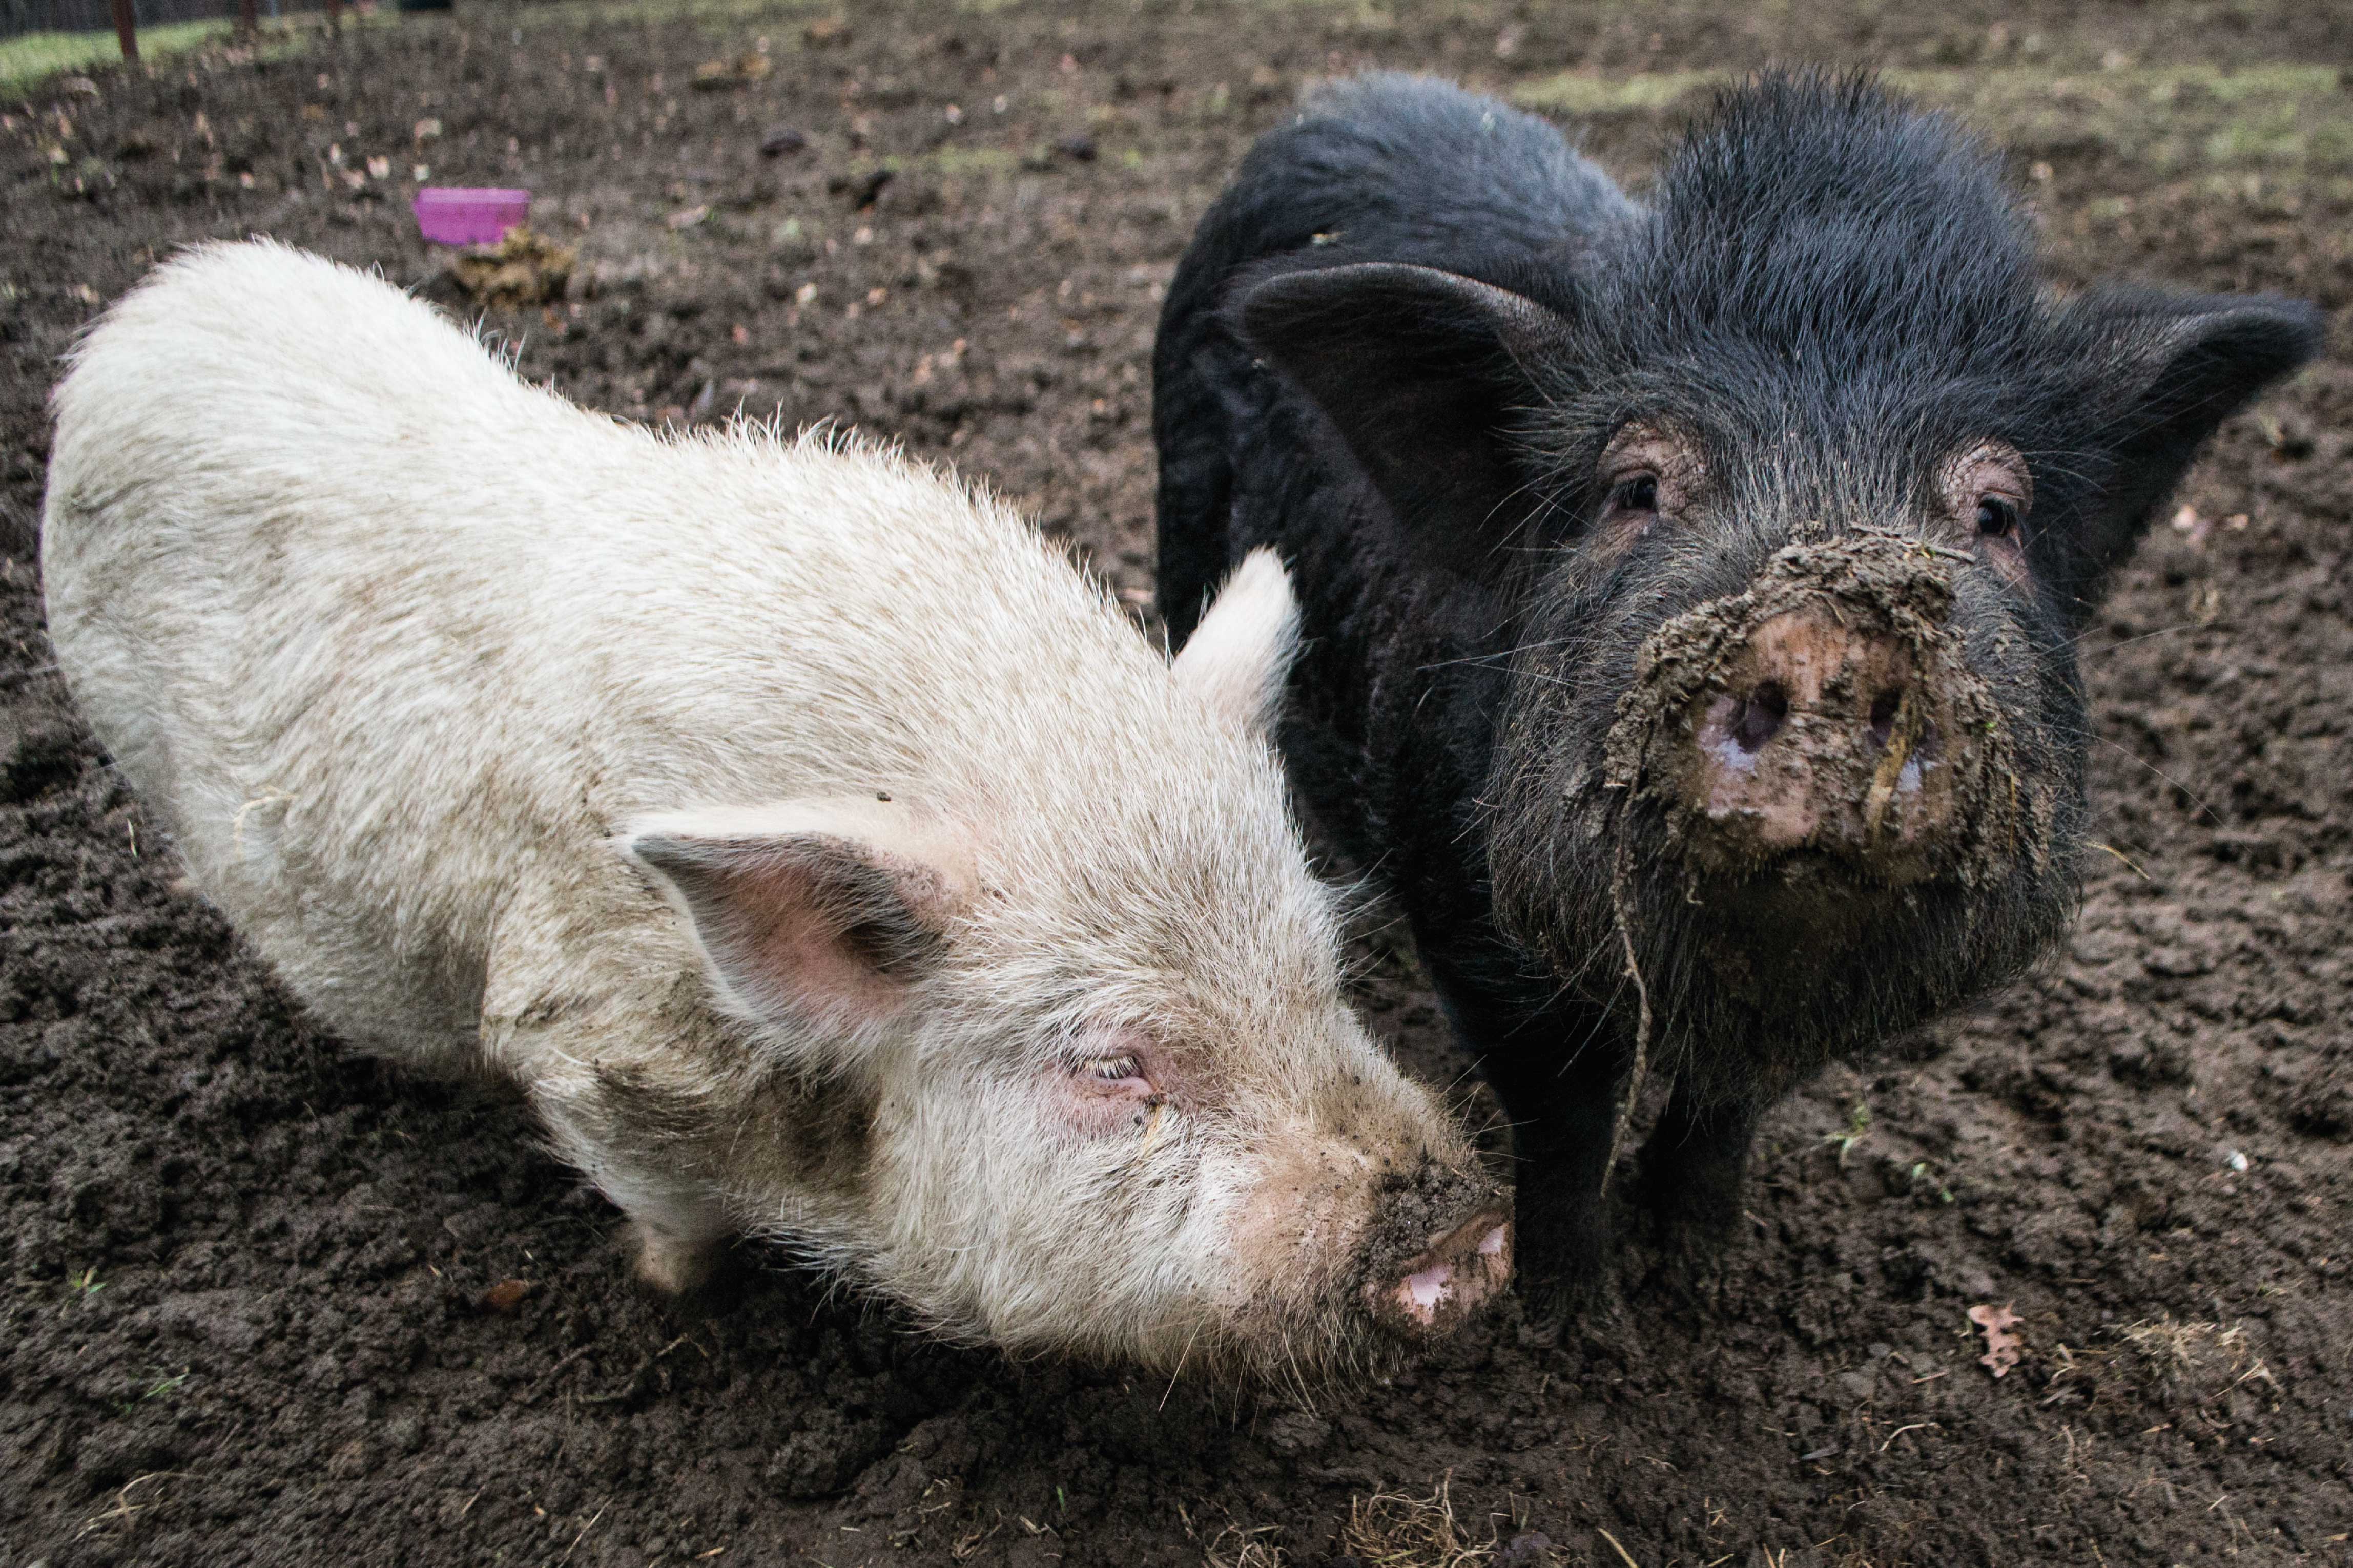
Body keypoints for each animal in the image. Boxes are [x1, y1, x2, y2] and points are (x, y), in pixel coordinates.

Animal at [41, 240, 1505, 1382]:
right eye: (1112, 1067)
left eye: (1317, 964)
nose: (1466, 1231)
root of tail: (147, 308)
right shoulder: (569, 1044)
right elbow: (669, 1220)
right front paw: (663, 1288)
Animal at [1148, 76, 2324, 1326]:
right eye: (1633, 486)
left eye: (1997, 511)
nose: (1831, 637)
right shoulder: (1469, 914)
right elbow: (1567, 1109)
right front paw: (1569, 1317)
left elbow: (1727, 1105)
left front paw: (1706, 1284)